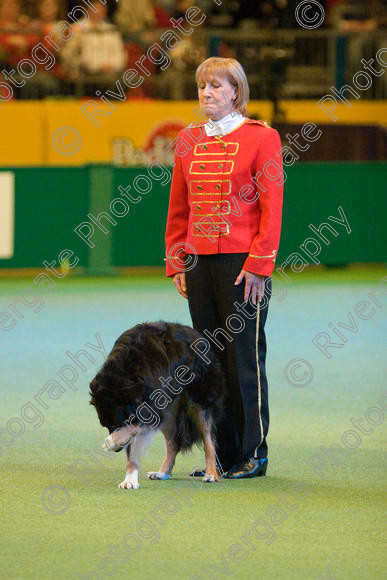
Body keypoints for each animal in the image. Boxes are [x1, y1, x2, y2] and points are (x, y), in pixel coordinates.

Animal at [89, 322, 226, 490]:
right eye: (106, 425)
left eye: (115, 424)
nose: (118, 450)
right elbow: (132, 448)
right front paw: (130, 480)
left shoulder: (149, 410)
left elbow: (131, 430)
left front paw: (112, 441)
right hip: (170, 413)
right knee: (173, 443)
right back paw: (163, 472)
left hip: (200, 400)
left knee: (209, 440)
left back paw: (211, 473)